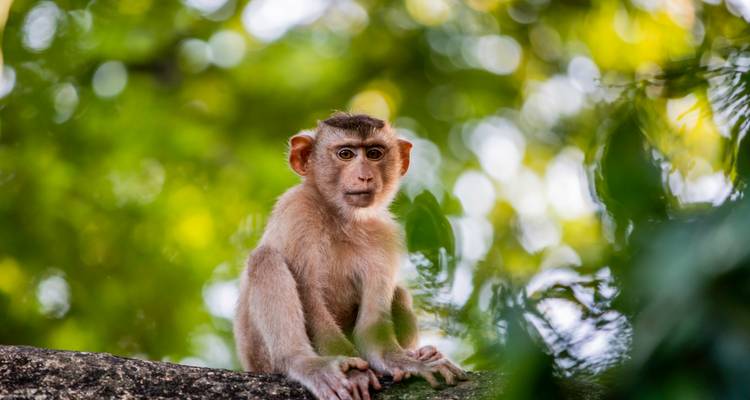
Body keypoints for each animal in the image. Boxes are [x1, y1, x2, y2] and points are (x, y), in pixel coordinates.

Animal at [234, 113, 466, 400]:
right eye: (345, 154)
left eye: (375, 153)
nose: (365, 176)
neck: (342, 218)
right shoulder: (298, 211)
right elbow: (309, 296)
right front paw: (353, 372)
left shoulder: (384, 234)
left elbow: (372, 328)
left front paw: (403, 361)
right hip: (259, 355)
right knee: (265, 260)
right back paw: (303, 363)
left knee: (398, 293)